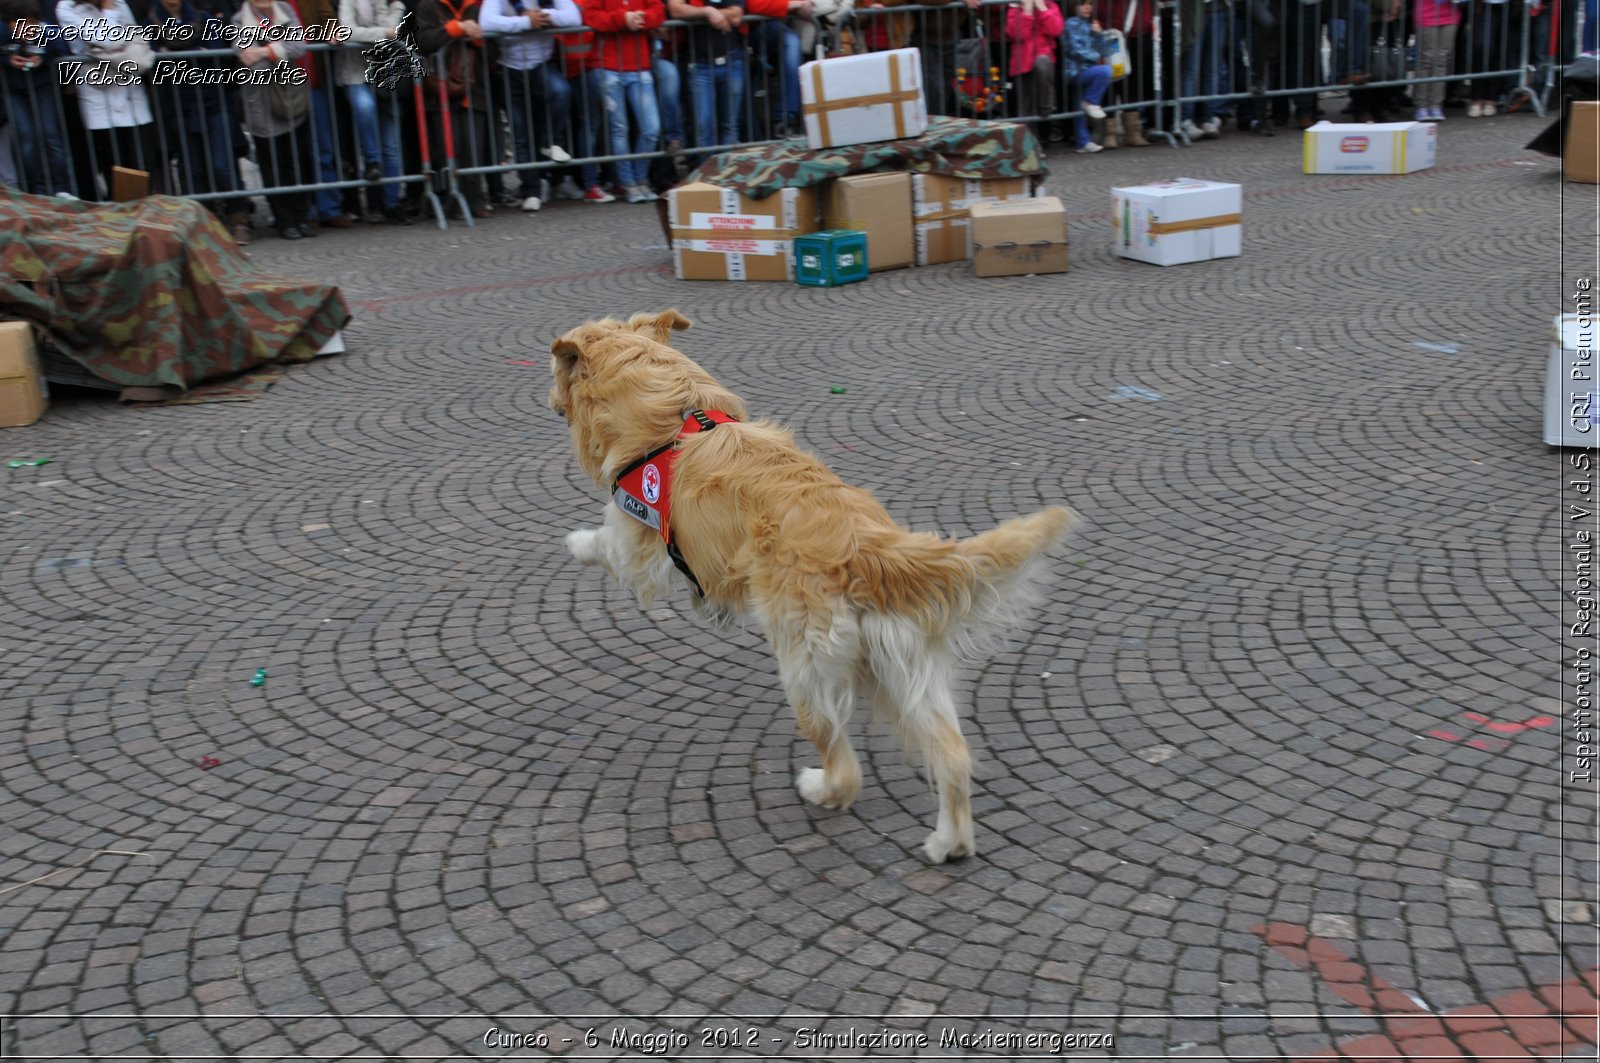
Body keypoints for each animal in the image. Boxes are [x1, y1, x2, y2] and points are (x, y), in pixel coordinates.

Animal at [550, 308, 1075, 864]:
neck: (670, 411)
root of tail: (870, 548)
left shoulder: (638, 541)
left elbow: (606, 544)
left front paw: (575, 542)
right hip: (907, 670)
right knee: (952, 755)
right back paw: (948, 842)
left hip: (805, 672)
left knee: (846, 768)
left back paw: (820, 786)